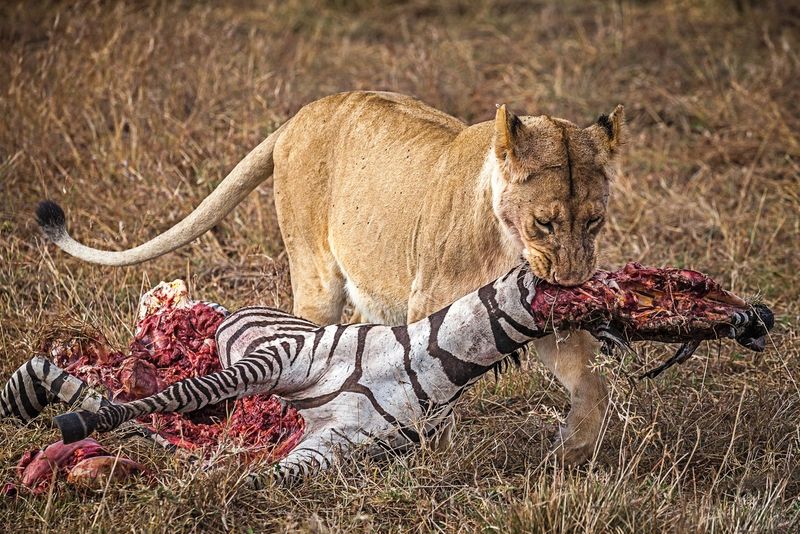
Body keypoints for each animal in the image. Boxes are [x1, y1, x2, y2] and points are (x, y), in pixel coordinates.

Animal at [21, 262, 551, 484]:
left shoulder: (329, 450)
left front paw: (208, 484)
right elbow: (180, 393)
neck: (423, 366)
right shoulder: (283, 357)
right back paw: (30, 387)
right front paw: (76, 424)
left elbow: (252, 481)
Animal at [37, 91, 625, 464]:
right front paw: (436, 455)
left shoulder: (541, 312)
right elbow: (433, 384)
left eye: (594, 221)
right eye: (545, 223)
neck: (510, 244)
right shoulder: (432, 305)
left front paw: (575, 450)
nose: (574, 280)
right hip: (316, 277)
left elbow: (589, 382)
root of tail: (299, 116)